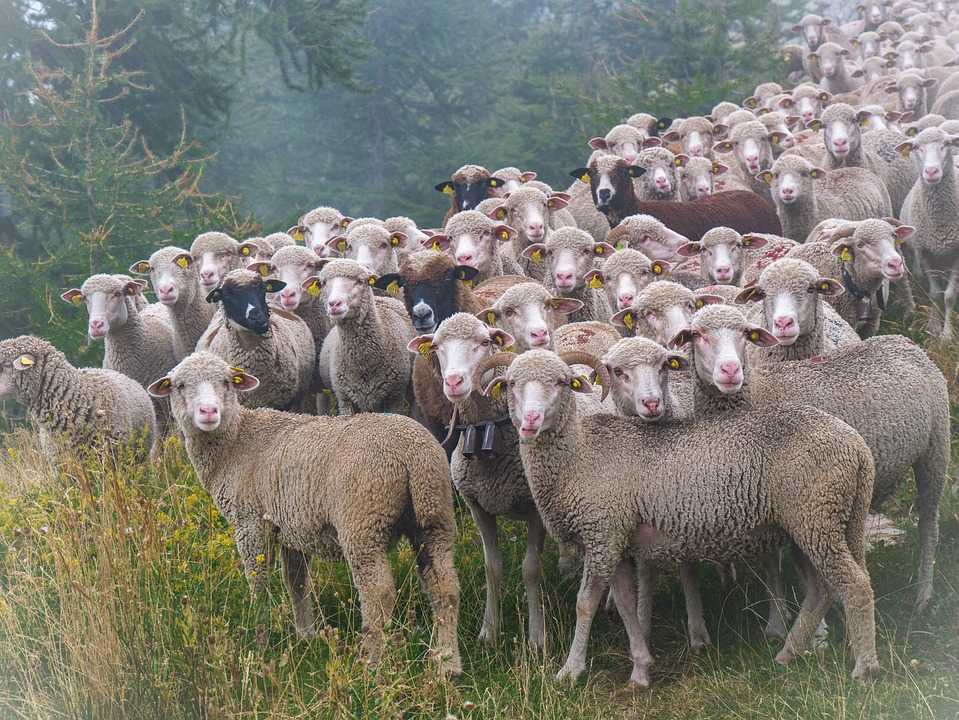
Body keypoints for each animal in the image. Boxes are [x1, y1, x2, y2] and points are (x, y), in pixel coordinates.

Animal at [147, 352, 461, 673]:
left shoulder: (250, 524)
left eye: (226, 382)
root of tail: (412, 453)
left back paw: (372, 664)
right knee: (445, 586)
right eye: (180, 385)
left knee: (378, 593)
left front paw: (261, 643)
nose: (208, 411)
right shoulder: (290, 528)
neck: (235, 443)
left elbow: (258, 583)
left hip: (363, 520)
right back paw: (447, 663)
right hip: (434, 515)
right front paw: (305, 634)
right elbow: (296, 582)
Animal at [482, 337, 879, 686]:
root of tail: (857, 447)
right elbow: (625, 604)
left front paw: (571, 669)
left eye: (562, 383)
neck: (578, 456)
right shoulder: (617, 540)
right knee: (822, 590)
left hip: (815, 516)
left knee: (854, 583)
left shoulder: (601, 534)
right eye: (512, 384)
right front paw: (641, 669)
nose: (531, 420)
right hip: (810, 524)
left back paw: (864, 669)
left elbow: (585, 604)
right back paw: (788, 653)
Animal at [899, 126, 959, 337]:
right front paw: (934, 326)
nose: (931, 171)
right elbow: (935, 294)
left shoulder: (957, 254)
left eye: (946, 144)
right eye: (917, 147)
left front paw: (947, 335)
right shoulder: (925, 252)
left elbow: (949, 296)